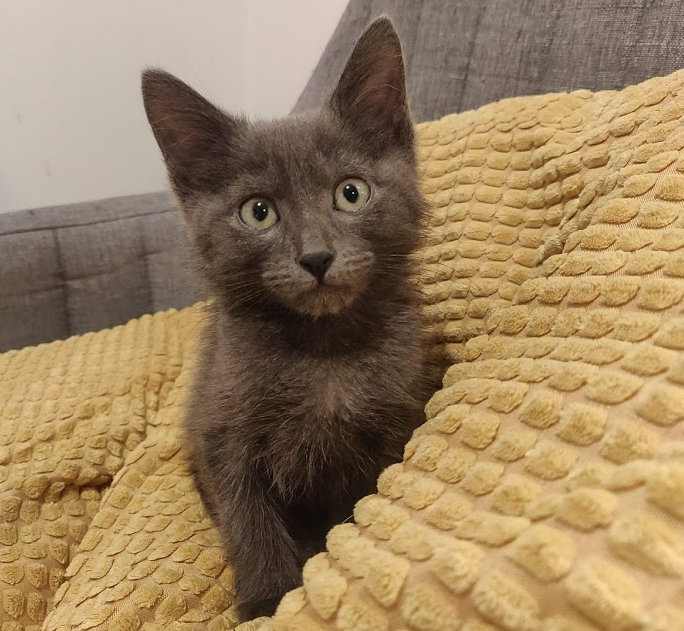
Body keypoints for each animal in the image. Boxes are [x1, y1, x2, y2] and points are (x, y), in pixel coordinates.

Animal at [140, 18, 428, 624]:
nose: (316, 257)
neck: (322, 350)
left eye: (351, 192)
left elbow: (361, 506)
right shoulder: (222, 430)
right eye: (258, 211)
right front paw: (269, 598)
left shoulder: (393, 422)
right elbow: (246, 517)